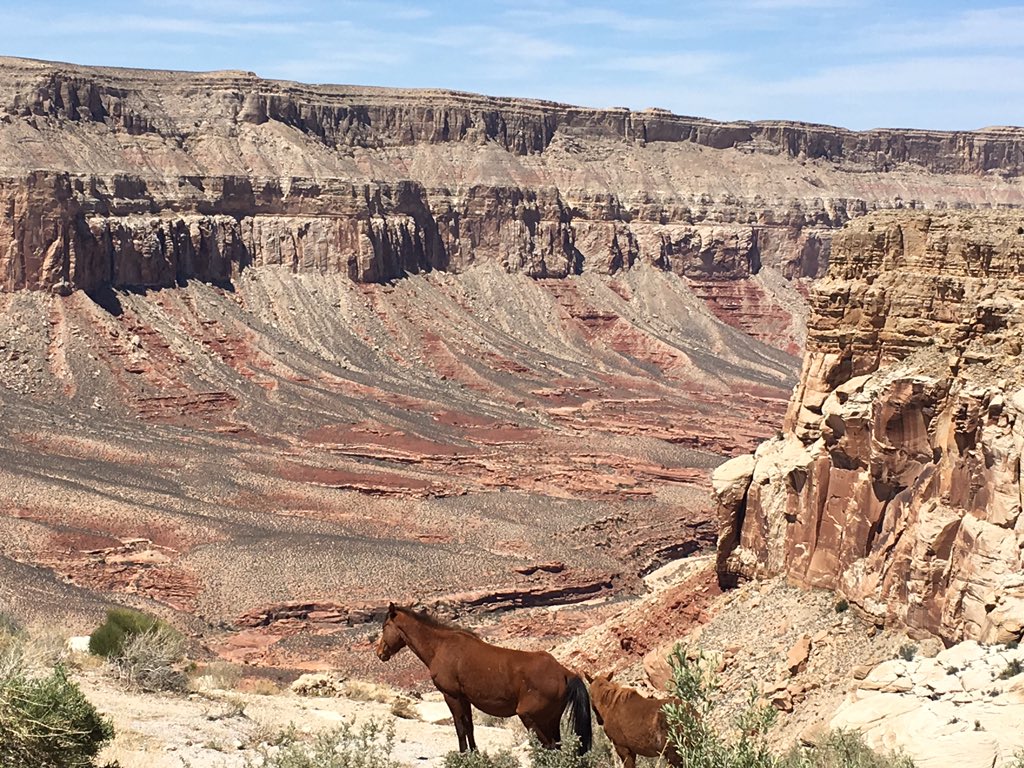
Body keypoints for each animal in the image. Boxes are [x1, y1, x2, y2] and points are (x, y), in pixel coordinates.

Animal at [374, 606, 593, 753]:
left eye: (385, 626)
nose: (379, 653)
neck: (440, 647)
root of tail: (564, 672)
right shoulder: (465, 698)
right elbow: (469, 727)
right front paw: (474, 753)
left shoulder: (451, 696)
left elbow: (459, 727)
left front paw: (463, 754)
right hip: (552, 719)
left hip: (531, 717)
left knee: (549, 746)